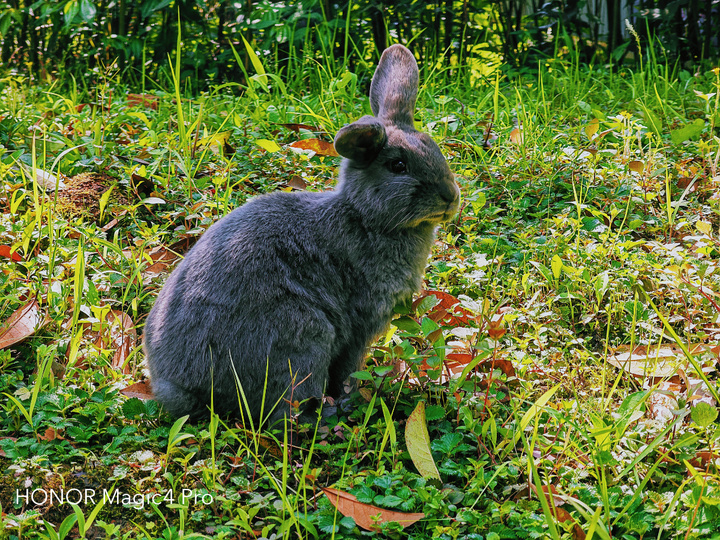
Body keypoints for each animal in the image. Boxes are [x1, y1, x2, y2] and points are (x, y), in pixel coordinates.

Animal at [145, 45, 462, 426]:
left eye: (434, 148)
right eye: (397, 166)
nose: (450, 197)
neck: (364, 215)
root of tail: (182, 387)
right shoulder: (359, 324)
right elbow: (347, 370)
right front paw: (352, 397)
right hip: (304, 337)